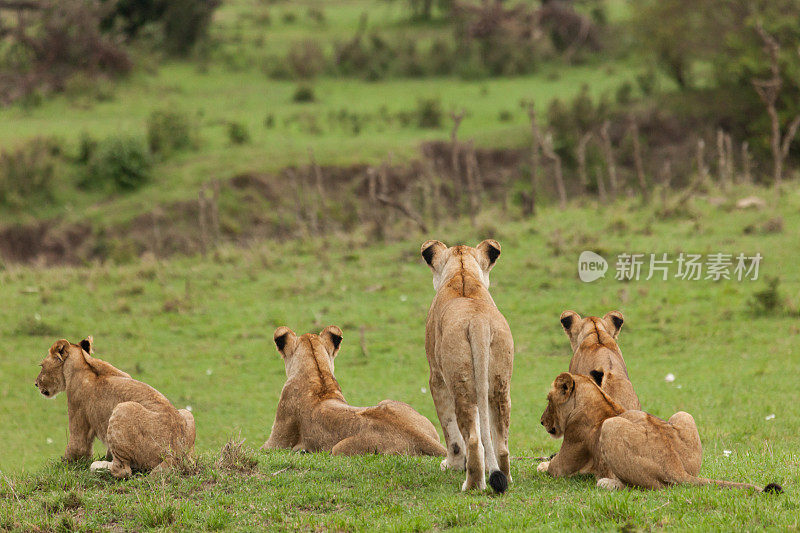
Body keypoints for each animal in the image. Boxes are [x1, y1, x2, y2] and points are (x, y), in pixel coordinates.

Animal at [34, 336, 197, 478]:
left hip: (123, 408)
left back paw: (98, 466)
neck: (83, 363)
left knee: (123, 470)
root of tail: (176, 453)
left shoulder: (77, 413)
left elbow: (76, 449)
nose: (36, 384)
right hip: (187, 413)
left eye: (42, 366)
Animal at [418, 239, 512, 492]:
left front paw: (452, 465)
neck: (462, 274)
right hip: (500, 385)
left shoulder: (436, 378)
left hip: (460, 385)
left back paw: (471, 485)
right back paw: (505, 478)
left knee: (472, 439)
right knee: (500, 443)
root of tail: (478, 321)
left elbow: (449, 430)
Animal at [536, 372, 780, 492]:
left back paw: (607, 483)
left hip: (611, 427)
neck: (595, 397)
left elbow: (551, 467)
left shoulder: (569, 453)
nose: (541, 421)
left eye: (548, 400)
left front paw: (541, 465)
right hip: (684, 415)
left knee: (650, 486)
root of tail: (674, 467)